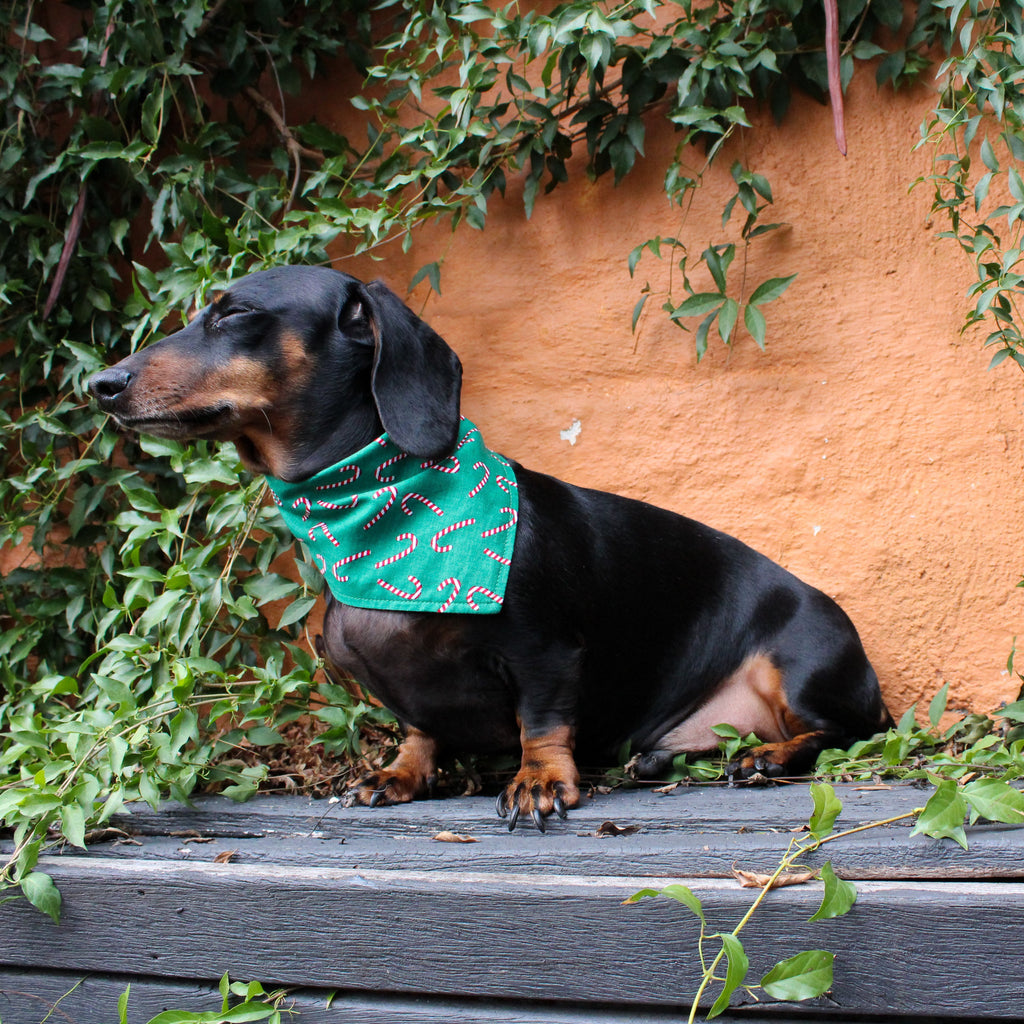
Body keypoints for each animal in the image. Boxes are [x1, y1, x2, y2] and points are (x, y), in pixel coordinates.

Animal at [86, 266, 888, 831]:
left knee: (838, 732)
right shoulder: (407, 689)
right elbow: (418, 728)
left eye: (235, 313)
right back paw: (662, 756)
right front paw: (401, 773)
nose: (101, 383)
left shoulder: (547, 653)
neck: (379, 515)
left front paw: (537, 781)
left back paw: (766, 757)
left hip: (803, 665)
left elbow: (544, 719)